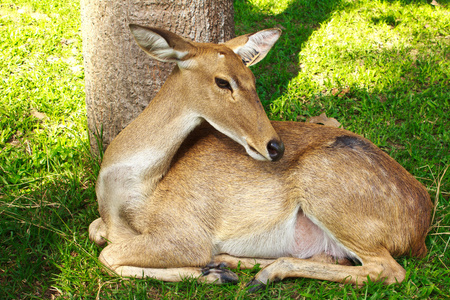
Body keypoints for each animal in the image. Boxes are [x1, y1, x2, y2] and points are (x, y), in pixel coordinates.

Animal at [89, 24, 432, 290]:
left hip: (331, 198)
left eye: (252, 80)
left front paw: (209, 273)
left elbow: (108, 257)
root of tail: (419, 232)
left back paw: (258, 273)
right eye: (222, 81)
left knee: (387, 269)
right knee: (330, 256)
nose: (275, 146)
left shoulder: (184, 233)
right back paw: (231, 264)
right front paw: (214, 272)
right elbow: (96, 235)